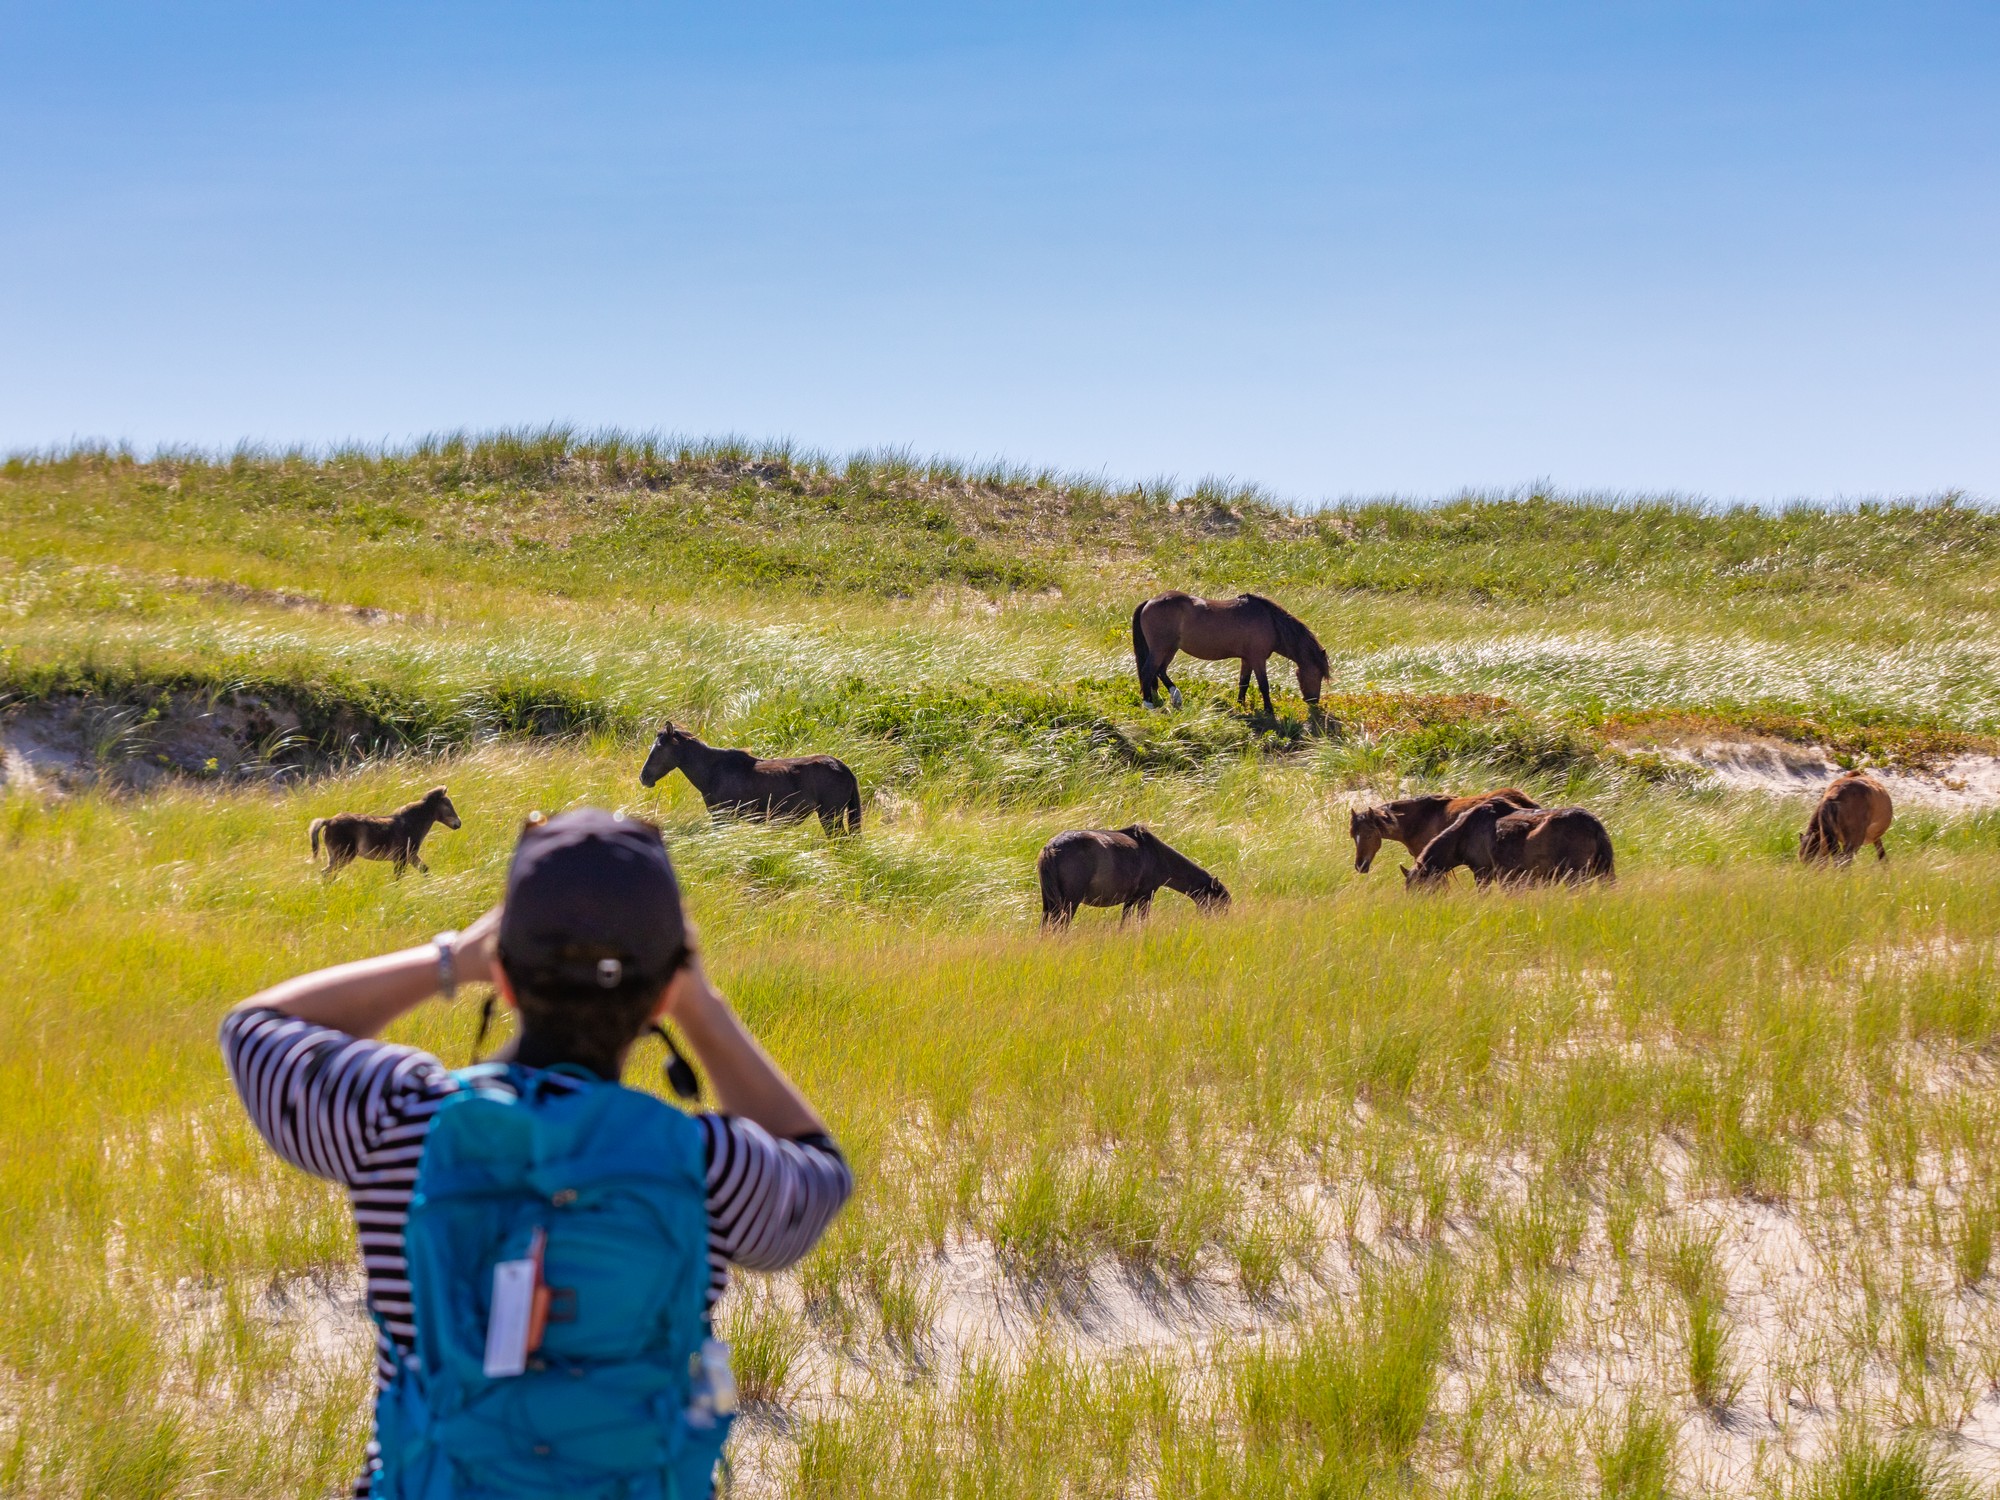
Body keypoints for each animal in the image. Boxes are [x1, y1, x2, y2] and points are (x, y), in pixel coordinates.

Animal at [309, 787, 461, 877]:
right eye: (448, 805)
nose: (458, 823)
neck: (412, 822)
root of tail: (328, 821)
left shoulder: (411, 855)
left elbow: (425, 870)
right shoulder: (401, 858)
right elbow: (398, 877)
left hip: (334, 855)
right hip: (344, 855)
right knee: (328, 873)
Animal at [640, 722, 862, 834]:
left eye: (659, 748)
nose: (644, 776)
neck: (713, 771)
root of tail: (843, 767)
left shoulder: (722, 817)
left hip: (830, 815)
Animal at [1037, 826, 1230, 928]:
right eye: (1219, 904)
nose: (1220, 924)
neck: (1157, 855)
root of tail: (1050, 848)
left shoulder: (1131, 899)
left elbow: (1124, 923)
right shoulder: (1147, 895)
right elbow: (1141, 921)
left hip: (1049, 901)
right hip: (1069, 902)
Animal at [1131, 592, 1330, 720]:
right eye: (1318, 674)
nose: (1314, 701)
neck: (1271, 622)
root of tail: (1149, 601)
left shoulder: (1247, 659)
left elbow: (1244, 683)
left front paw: (1240, 704)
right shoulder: (1258, 659)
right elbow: (1264, 686)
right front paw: (1269, 710)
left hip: (1170, 649)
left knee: (1160, 671)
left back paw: (1173, 696)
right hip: (1161, 648)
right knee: (1149, 671)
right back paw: (1149, 703)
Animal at [1402, 800, 1613, 890]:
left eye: (1419, 886)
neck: (1463, 834)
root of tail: (1595, 825)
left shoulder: (1483, 871)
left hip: (1575, 874)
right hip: (1603, 868)